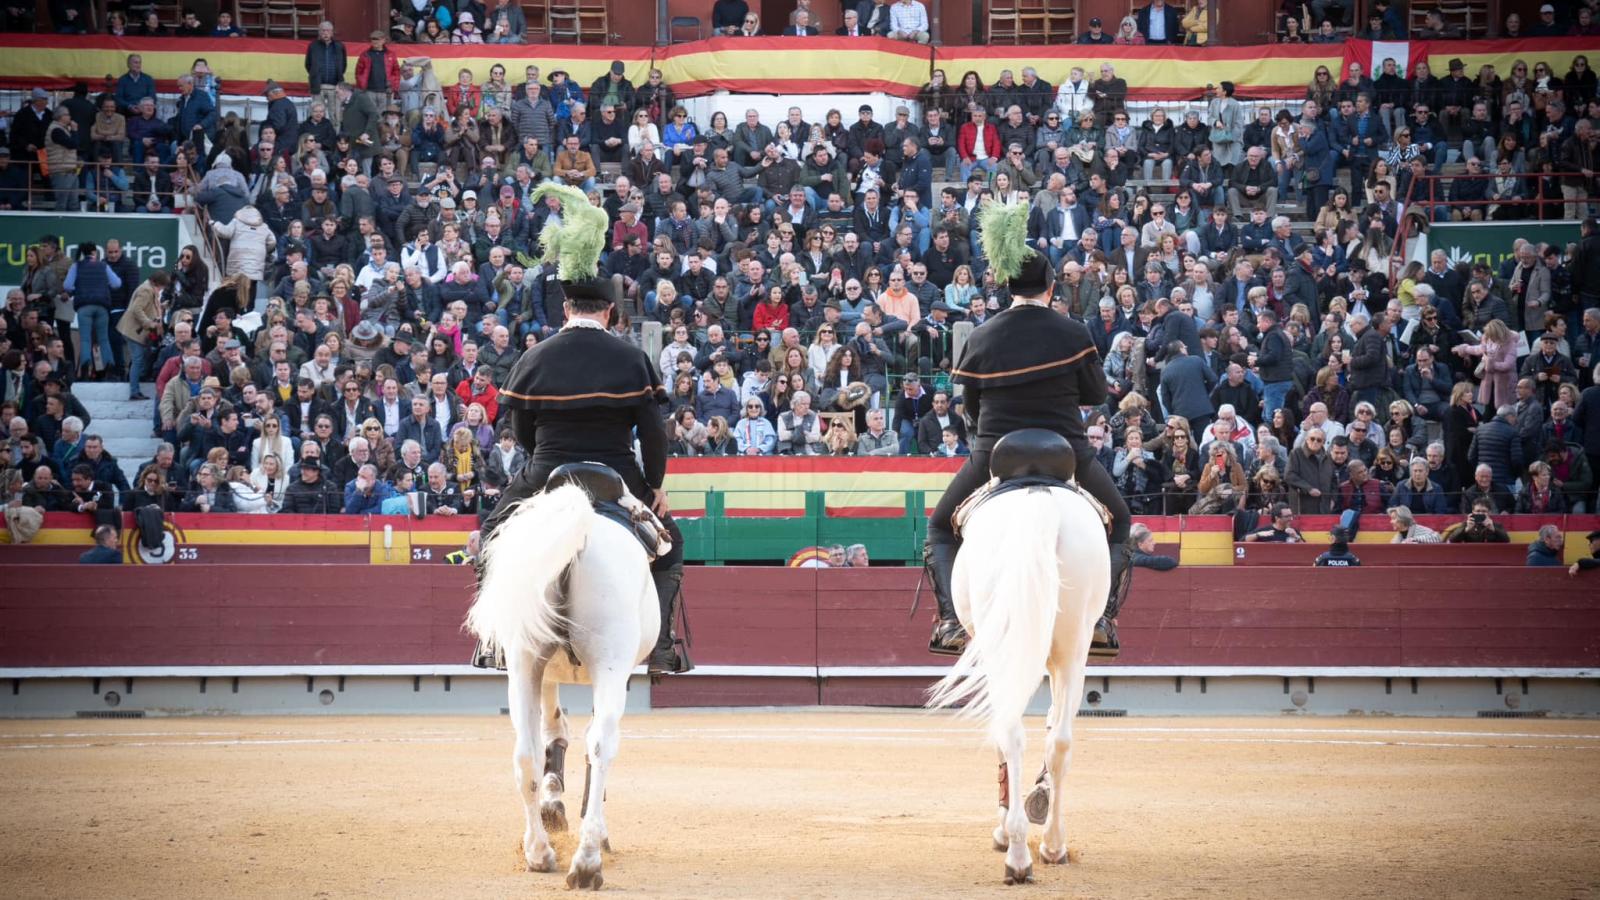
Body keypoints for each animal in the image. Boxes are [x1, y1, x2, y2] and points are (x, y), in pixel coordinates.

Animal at [467, 480, 659, 883]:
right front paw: (579, 818)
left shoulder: (544, 670)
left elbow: (552, 730)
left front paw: (553, 804)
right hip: (610, 663)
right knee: (601, 744)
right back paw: (587, 859)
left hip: (524, 661)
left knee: (525, 754)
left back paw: (539, 852)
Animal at [928, 483, 1113, 883]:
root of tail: (1037, 496)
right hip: (1072, 647)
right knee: (1058, 742)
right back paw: (1049, 846)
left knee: (1014, 733)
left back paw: (1018, 851)